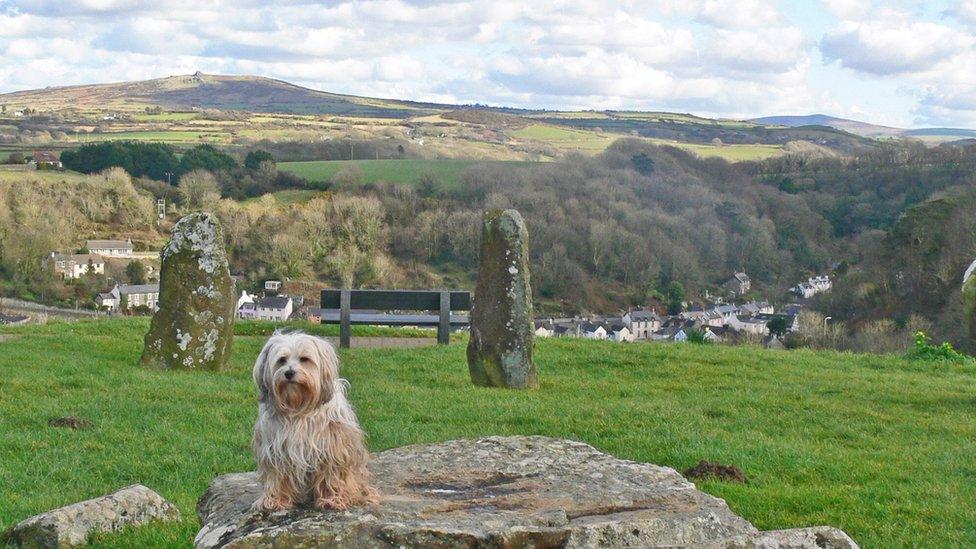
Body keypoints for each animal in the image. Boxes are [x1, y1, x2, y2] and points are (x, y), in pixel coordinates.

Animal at [252, 332, 378, 512]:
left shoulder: (332, 448)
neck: (299, 408)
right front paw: (275, 499)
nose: (289, 373)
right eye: (282, 360)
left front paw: (333, 499)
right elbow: (276, 474)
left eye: (304, 359)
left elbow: (332, 475)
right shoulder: (274, 448)